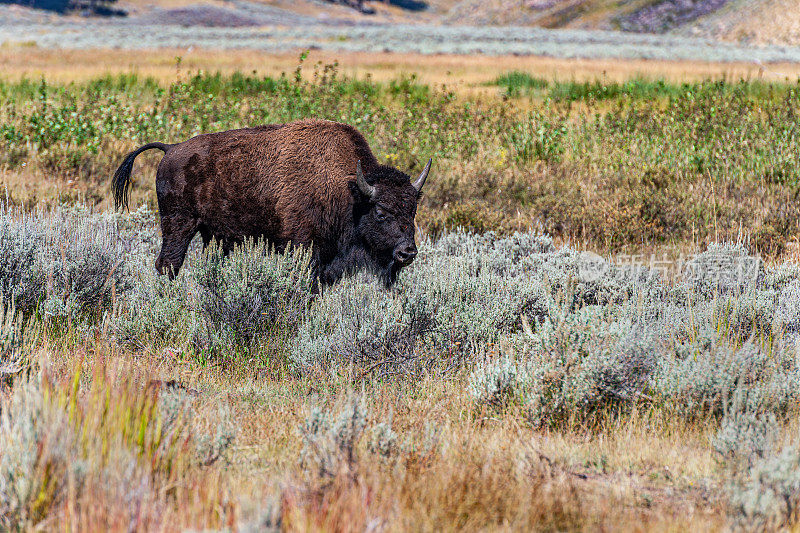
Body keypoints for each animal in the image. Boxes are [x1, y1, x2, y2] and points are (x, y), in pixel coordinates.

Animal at [112, 119, 432, 286]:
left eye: (412, 210)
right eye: (381, 212)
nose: (407, 253)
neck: (350, 189)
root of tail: (171, 149)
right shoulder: (302, 248)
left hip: (212, 235)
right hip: (178, 225)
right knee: (169, 264)